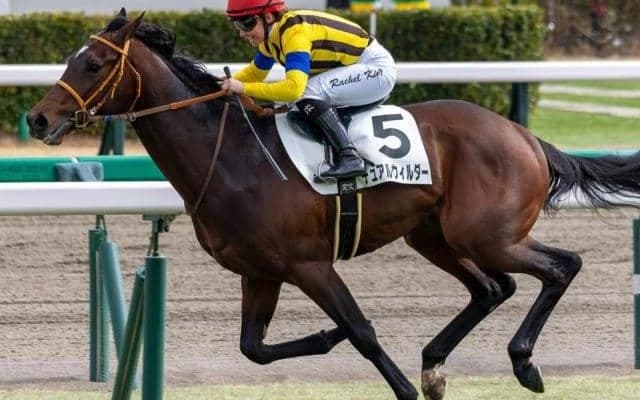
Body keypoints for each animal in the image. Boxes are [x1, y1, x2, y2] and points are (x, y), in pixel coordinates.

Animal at [27, 10, 640, 400]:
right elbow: (254, 348)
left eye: (93, 65)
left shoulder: (308, 264)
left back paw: (523, 362)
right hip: (435, 234)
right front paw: (328, 338)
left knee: (561, 266)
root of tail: (526, 136)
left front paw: (373, 363)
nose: (37, 118)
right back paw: (434, 366)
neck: (232, 158)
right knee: (493, 287)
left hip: (487, 234)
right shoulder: (260, 272)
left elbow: (362, 331)